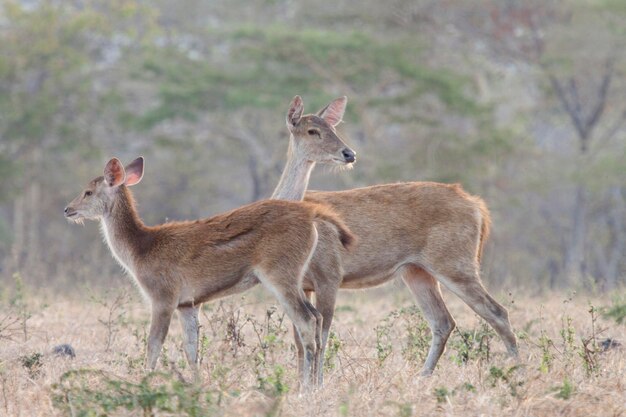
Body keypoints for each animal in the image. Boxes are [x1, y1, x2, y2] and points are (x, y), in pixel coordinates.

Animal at [66, 156, 356, 386]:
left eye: (88, 191)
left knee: (307, 322)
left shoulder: (163, 297)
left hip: (280, 274)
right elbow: (191, 349)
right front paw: (196, 385)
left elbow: (154, 345)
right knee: (317, 318)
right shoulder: (188, 304)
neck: (141, 248)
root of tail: (311, 214)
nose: (68, 209)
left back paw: (306, 390)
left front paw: (144, 383)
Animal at [270, 95, 516, 380]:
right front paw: (301, 385)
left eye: (333, 128)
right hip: (417, 270)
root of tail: (477, 206)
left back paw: (519, 370)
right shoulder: (301, 284)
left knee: (497, 312)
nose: (349, 153)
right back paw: (422, 377)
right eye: (313, 130)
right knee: (443, 321)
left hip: (455, 263)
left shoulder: (329, 275)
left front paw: (317, 385)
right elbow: (301, 339)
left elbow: (322, 334)